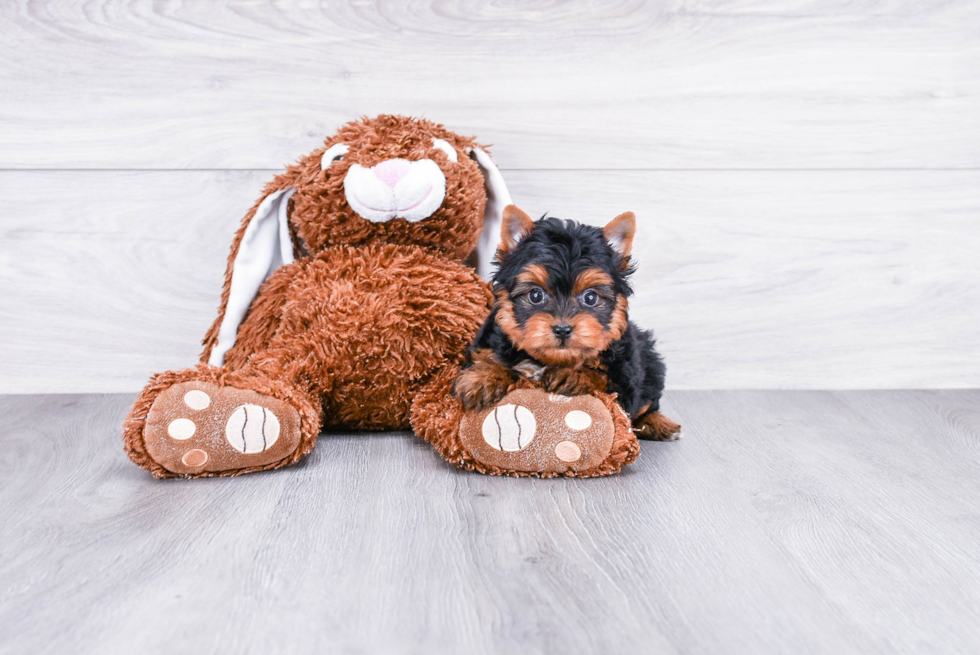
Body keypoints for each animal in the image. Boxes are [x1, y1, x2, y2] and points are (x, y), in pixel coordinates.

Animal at [458, 205, 680, 440]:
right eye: (535, 295)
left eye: (590, 297)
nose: (562, 329)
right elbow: (488, 354)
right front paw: (481, 377)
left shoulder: (625, 378)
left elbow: (607, 381)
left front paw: (574, 374)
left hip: (651, 364)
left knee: (649, 402)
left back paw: (658, 423)